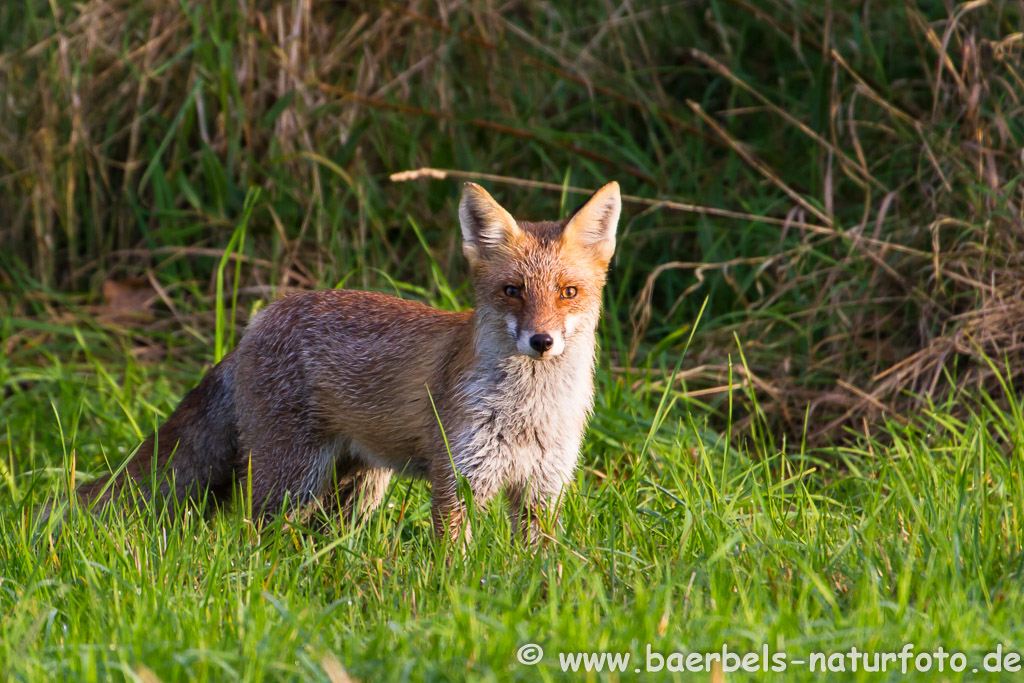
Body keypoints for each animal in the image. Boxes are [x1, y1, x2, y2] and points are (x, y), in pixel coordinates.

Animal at [75, 181, 618, 544]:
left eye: (568, 292)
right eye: (512, 291)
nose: (541, 341)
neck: (528, 413)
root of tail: (257, 322)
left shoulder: (543, 489)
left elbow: (537, 564)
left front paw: (536, 594)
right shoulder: (457, 480)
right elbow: (453, 562)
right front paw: (454, 597)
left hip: (357, 489)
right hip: (292, 482)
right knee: (254, 538)